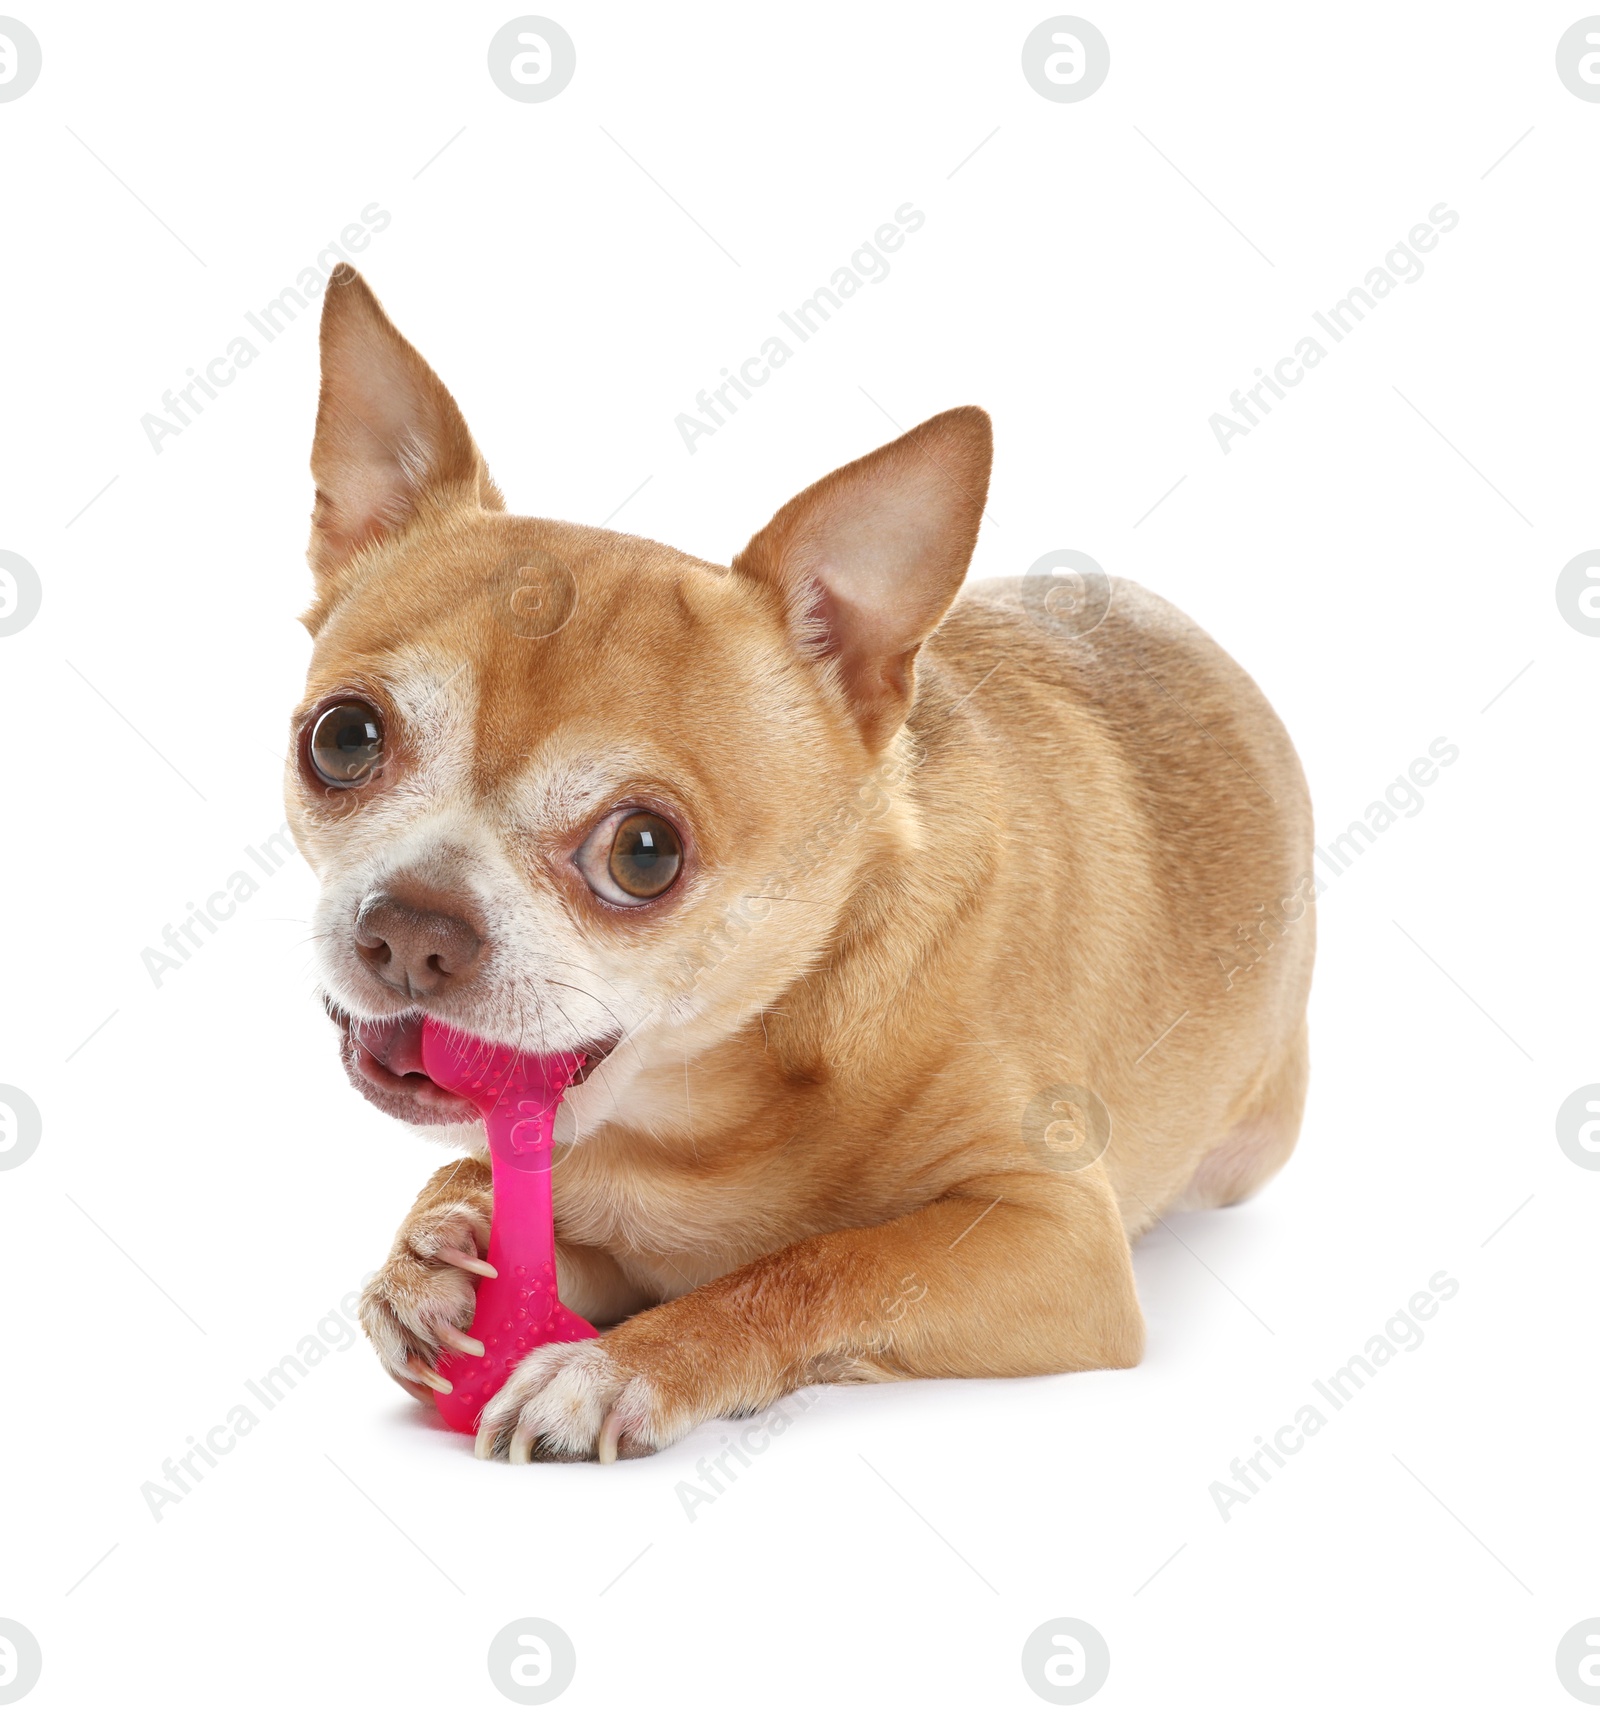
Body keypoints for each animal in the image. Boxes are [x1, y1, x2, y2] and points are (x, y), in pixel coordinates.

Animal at [287, 268, 1308, 1467]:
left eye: (644, 854)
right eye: (343, 739)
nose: (411, 925)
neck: (694, 1109)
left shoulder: (1052, 1239)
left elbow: (820, 1265)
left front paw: (621, 1365)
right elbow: (470, 1179)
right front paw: (428, 1254)